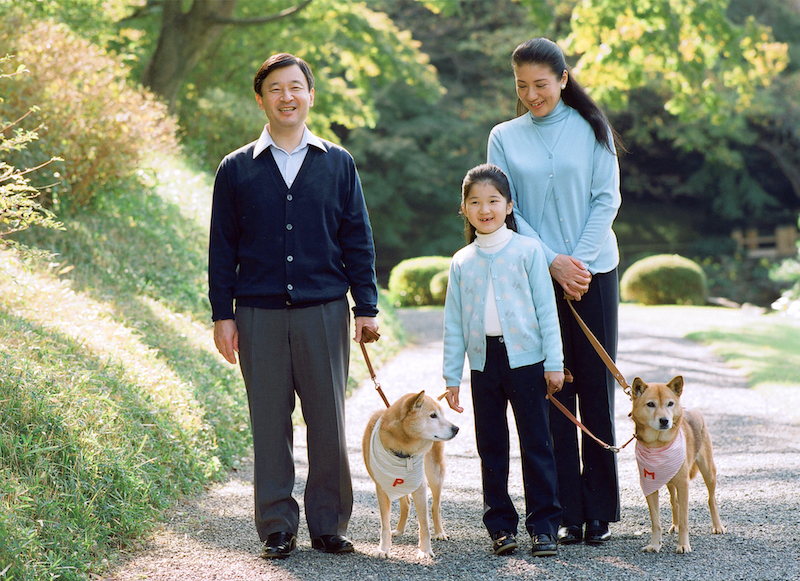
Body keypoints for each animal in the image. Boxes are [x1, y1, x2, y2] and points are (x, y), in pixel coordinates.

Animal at [360, 390, 456, 556]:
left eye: (443, 415)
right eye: (433, 415)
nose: (456, 429)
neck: (402, 449)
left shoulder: (420, 486)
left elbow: (424, 524)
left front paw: (425, 551)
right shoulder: (382, 488)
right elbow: (385, 524)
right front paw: (383, 549)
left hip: (435, 475)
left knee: (435, 507)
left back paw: (439, 533)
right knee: (406, 504)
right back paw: (399, 530)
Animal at [632, 376, 724, 552]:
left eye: (670, 403)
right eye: (650, 404)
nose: (664, 421)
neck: (658, 444)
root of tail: (692, 410)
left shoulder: (683, 484)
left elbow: (684, 520)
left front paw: (683, 544)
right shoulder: (649, 486)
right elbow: (656, 521)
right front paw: (655, 544)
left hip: (708, 471)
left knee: (711, 499)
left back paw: (717, 526)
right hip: (670, 481)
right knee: (674, 503)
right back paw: (674, 525)